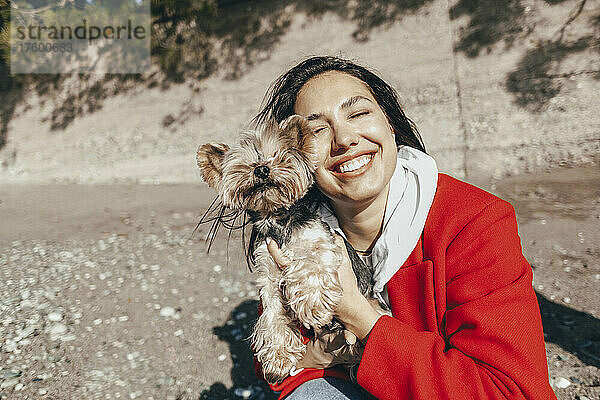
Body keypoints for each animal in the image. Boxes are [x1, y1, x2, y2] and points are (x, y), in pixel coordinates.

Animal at [196, 115, 380, 384]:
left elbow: (311, 265)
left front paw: (314, 305)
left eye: (278, 155)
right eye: (245, 165)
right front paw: (278, 356)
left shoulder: (320, 241)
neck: (276, 219)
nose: (261, 169)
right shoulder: (269, 276)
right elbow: (272, 313)